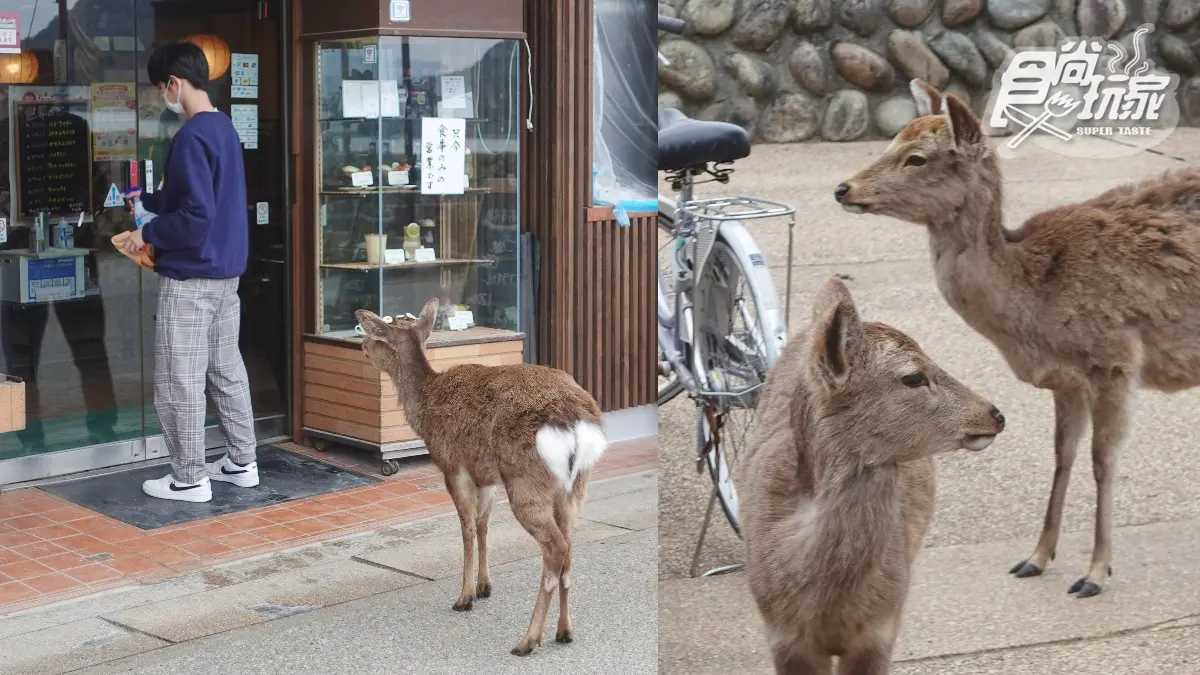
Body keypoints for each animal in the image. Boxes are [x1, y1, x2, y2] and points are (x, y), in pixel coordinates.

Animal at [354, 299, 608, 656]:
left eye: (378, 336)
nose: (361, 345)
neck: (425, 406)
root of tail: (576, 425)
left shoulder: (454, 465)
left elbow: (467, 529)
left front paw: (465, 596)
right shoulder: (486, 474)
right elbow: (484, 523)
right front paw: (485, 586)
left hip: (525, 480)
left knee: (555, 547)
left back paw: (528, 639)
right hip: (575, 486)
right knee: (569, 546)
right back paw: (564, 630)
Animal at [834, 78, 1200, 598]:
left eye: (917, 157)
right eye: (891, 140)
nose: (843, 188)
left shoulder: (1115, 358)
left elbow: (1102, 460)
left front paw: (1094, 573)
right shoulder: (1067, 380)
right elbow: (1063, 455)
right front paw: (1035, 558)